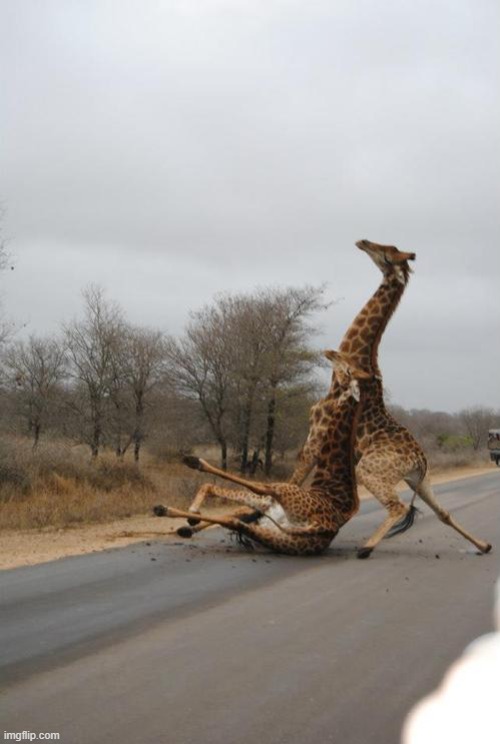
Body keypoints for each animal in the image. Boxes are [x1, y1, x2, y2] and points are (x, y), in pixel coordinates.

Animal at [153, 352, 370, 556]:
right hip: (273, 533)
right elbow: (220, 497)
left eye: (347, 373)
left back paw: (169, 506)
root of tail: (321, 525)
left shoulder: (267, 502)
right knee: (235, 518)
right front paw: (191, 518)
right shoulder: (265, 507)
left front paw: (190, 513)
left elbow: (241, 490)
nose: (322, 406)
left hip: (278, 501)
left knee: (252, 495)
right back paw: (180, 517)